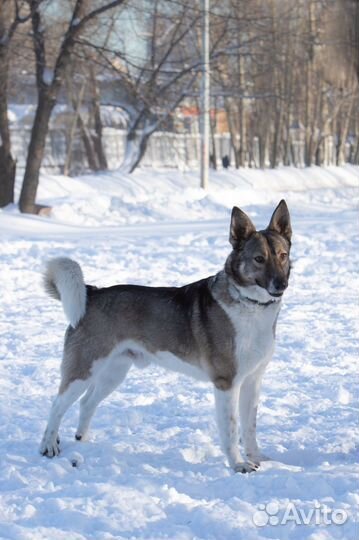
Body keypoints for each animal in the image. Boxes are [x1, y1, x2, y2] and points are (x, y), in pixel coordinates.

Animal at [40, 201, 292, 472]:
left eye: (282, 255)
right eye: (259, 259)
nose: (281, 285)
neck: (251, 306)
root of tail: (92, 293)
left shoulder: (252, 381)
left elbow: (250, 428)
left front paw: (257, 459)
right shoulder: (226, 383)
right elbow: (232, 429)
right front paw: (238, 465)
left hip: (113, 373)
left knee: (87, 403)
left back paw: (84, 442)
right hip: (83, 371)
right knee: (56, 405)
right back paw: (48, 446)